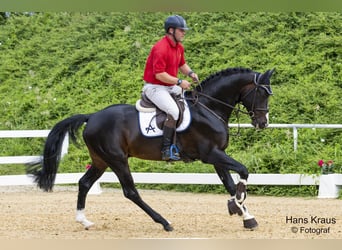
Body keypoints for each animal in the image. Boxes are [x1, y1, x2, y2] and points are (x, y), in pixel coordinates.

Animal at [28, 67, 276, 232]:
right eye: (262, 93)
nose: (263, 123)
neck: (209, 108)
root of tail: (92, 116)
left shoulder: (217, 156)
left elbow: (231, 184)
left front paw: (245, 215)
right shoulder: (211, 154)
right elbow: (242, 172)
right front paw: (237, 206)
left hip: (101, 160)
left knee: (85, 183)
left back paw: (84, 220)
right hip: (117, 159)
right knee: (130, 191)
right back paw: (165, 222)